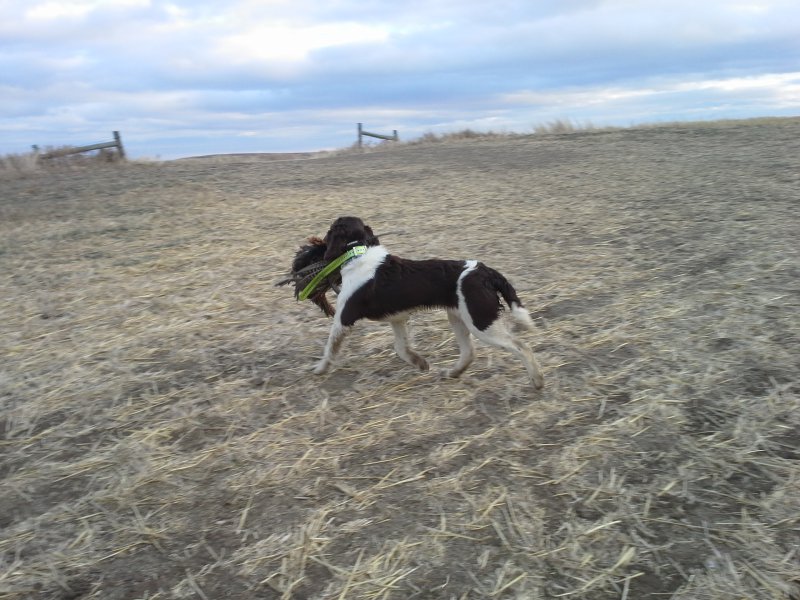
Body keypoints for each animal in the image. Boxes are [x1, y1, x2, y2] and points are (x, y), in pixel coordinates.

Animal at [290, 216, 544, 390]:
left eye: (328, 233)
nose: (314, 248)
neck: (358, 252)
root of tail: (486, 271)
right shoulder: (398, 318)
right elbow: (401, 348)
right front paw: (420, 363)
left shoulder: (344, 318)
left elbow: (330, 348)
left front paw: (319, 370)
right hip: (458, 317)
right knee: (469, 352)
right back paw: (452, 374)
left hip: (481, 321)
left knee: (522, 346)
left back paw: (537, 380)